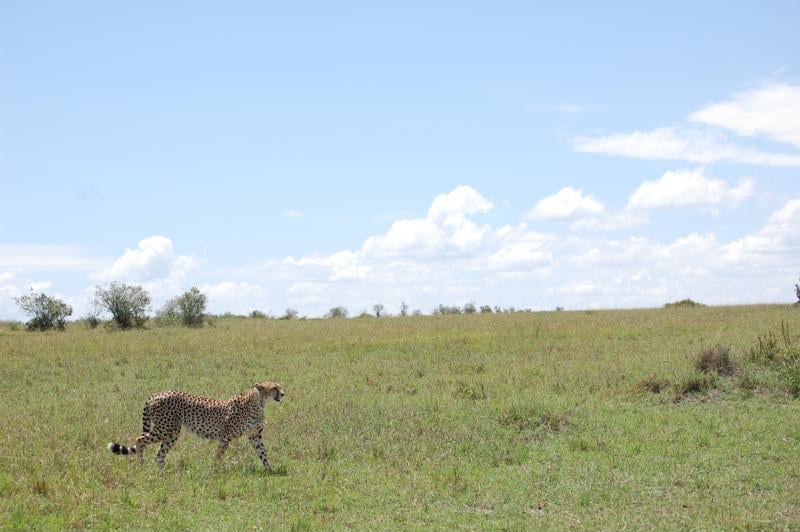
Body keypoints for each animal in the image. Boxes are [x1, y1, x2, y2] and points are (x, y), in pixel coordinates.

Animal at [107, 381, 285, 470]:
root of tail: (156, 394)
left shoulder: (255, 436)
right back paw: (141, 465)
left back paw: (163, 473)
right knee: (140, 440)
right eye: (274, 388)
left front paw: (270, 470)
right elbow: (219, 455)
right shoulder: (226, 437)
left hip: (171, 433)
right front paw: (215, 470)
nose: (283, 394)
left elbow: (263, 453)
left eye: (279, 386)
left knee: (159, 453)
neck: (259, 402)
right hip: (164, 429)